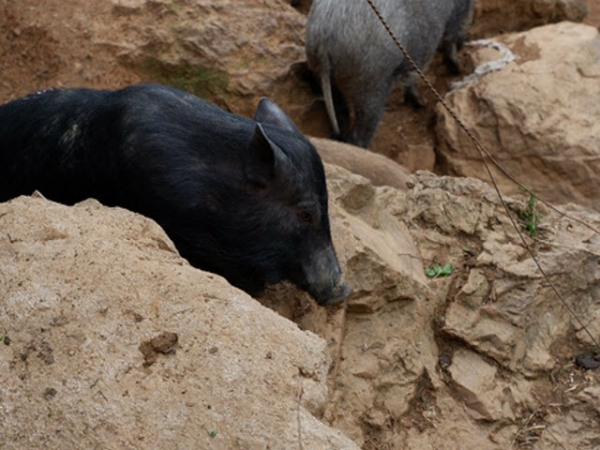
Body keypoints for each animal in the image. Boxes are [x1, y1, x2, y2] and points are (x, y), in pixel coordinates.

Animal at [308, 0, 476, 148]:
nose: (464, 42)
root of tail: (324, 42)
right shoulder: (456, 13)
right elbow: (450, 40)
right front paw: (459, 68)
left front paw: (421, 103)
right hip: (371, 83)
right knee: (361, 133)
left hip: (326, 76)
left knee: (340, 115)